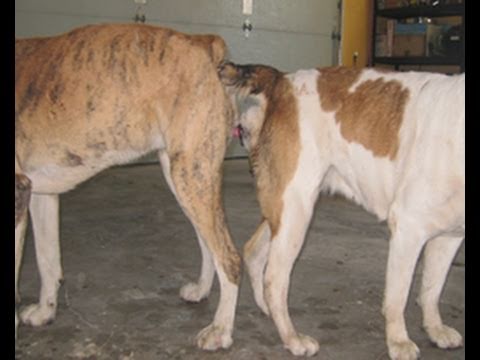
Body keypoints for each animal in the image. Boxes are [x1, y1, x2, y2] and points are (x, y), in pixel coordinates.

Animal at [15, 23, 242, 350]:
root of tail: (204, 43)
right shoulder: (40, 195)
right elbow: (47, 259)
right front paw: (46, 312)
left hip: (192, 175)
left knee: (229, 255)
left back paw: (221, 330)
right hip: (183, 175)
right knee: (208, 243)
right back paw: (201, 291)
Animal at [220, 63, 464, 358]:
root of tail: (280, 80)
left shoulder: (450, 237)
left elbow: (431, 289)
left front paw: (435, 329)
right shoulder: (408, 228)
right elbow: (399, 296)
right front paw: (398, 342)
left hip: (284, 209)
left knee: (254, 252)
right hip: (296, 211)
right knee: (275, 280)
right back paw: (292, 338)